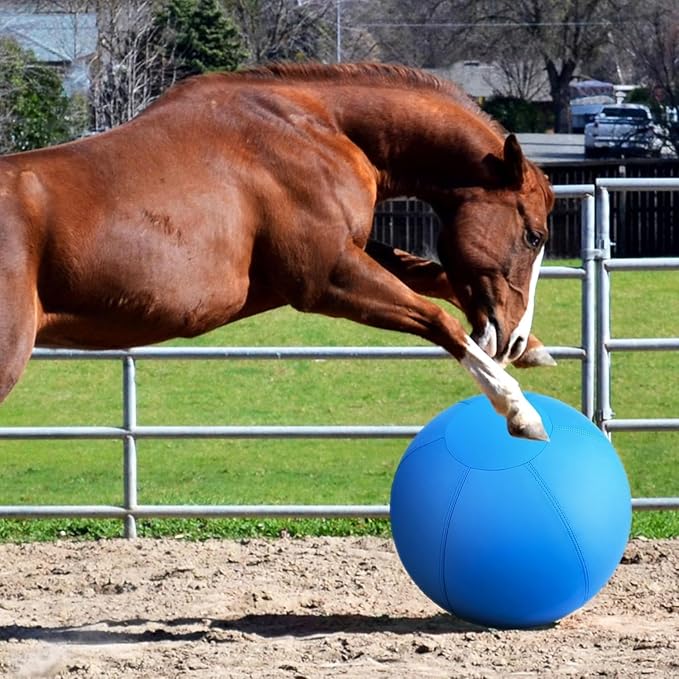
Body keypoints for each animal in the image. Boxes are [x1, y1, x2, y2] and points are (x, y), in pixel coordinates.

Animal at [0, 63, 554, 440]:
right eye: (534, 236)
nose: (510, 339)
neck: (316, 125)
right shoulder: (326, 278)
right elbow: (437, 319)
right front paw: (521, 411)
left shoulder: (347, 252)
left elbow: (430, 275)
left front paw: (534, 350)